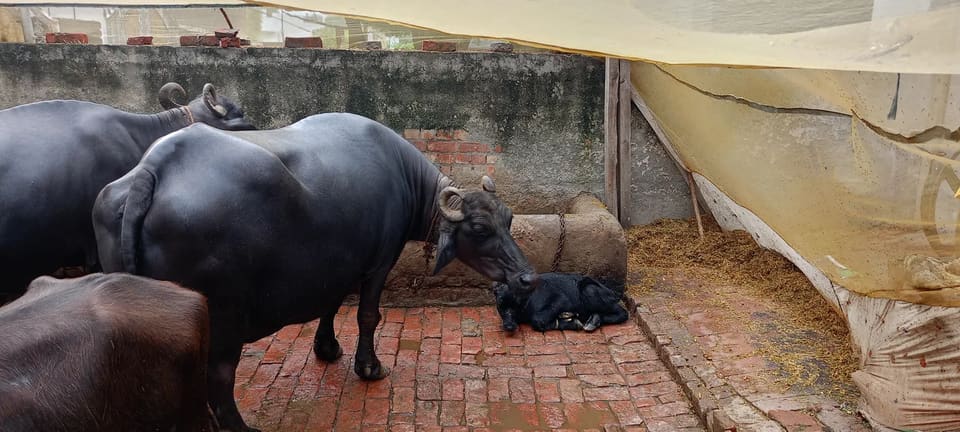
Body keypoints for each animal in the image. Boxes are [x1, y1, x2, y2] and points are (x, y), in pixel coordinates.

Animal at [93, 112, 539, 432]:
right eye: (479, 229)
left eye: (508, 219)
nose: (527, 278)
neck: (404, 178)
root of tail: (152, 169)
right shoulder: (379, 261)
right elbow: (367, 315)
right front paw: (369, 367)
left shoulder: (336, 261)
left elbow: (332, 304)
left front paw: (327, 349)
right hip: (222, 321)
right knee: (218, 378)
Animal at [493, 272, 629, 332]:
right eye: (500, 303)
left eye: (517, 303)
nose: (509, 326)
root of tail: (612, 292)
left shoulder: (561, 299)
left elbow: (537, 319)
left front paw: (572, 323)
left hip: (589, 290)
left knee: (623, 313)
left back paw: (592, 322)